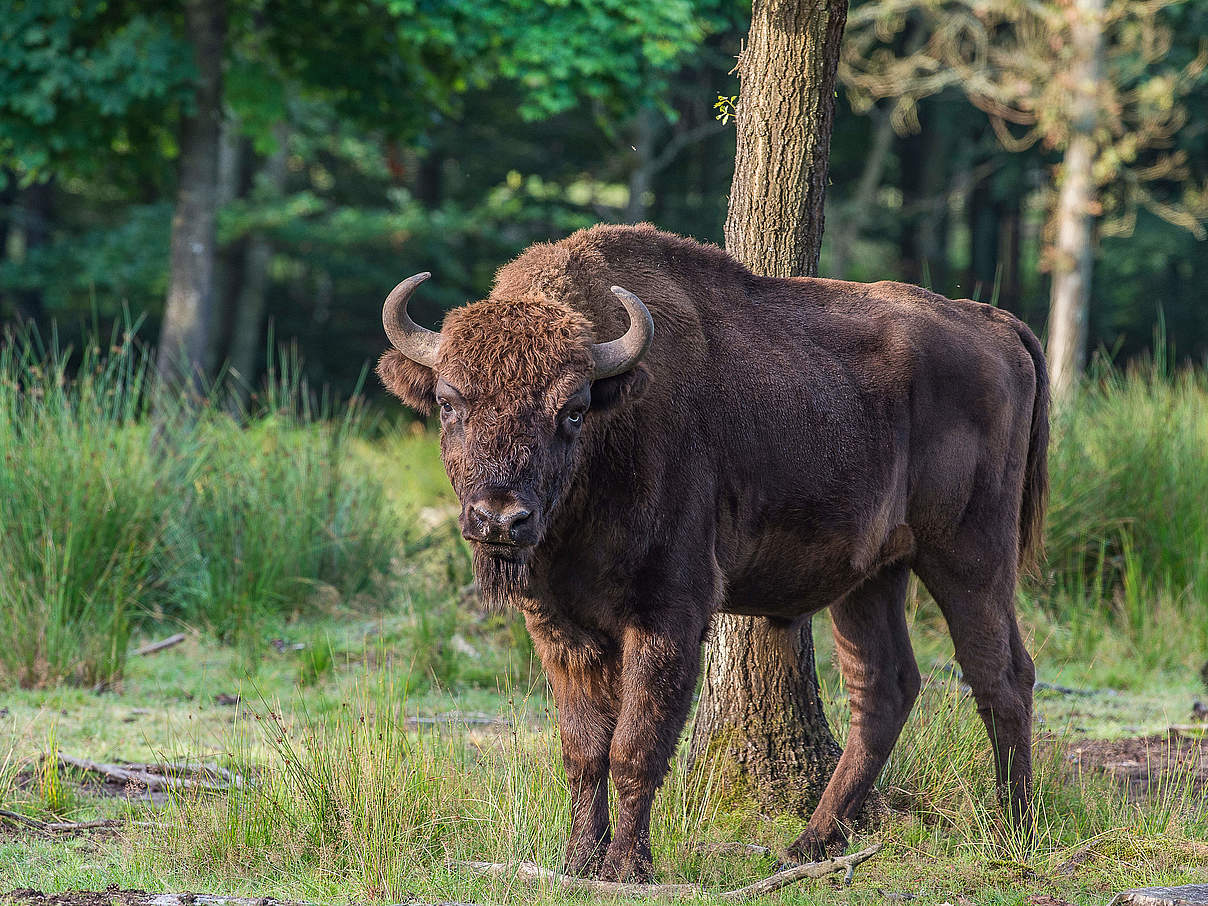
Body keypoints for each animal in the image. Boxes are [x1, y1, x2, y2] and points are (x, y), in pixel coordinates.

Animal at [376, 223, 1048, 884]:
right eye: (448, 403)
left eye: (572, 410)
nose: (499, 518)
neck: (612, 430)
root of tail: (993, 324)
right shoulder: (559, 627)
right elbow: (585, 749)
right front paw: (577, 860)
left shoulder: (668, 614)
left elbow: (636, 744)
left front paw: (627, 867)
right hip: (873, 577)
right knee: (884, 688)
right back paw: (808, 845)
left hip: (968, 556)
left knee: (1002, 675)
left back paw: (1013, 830)